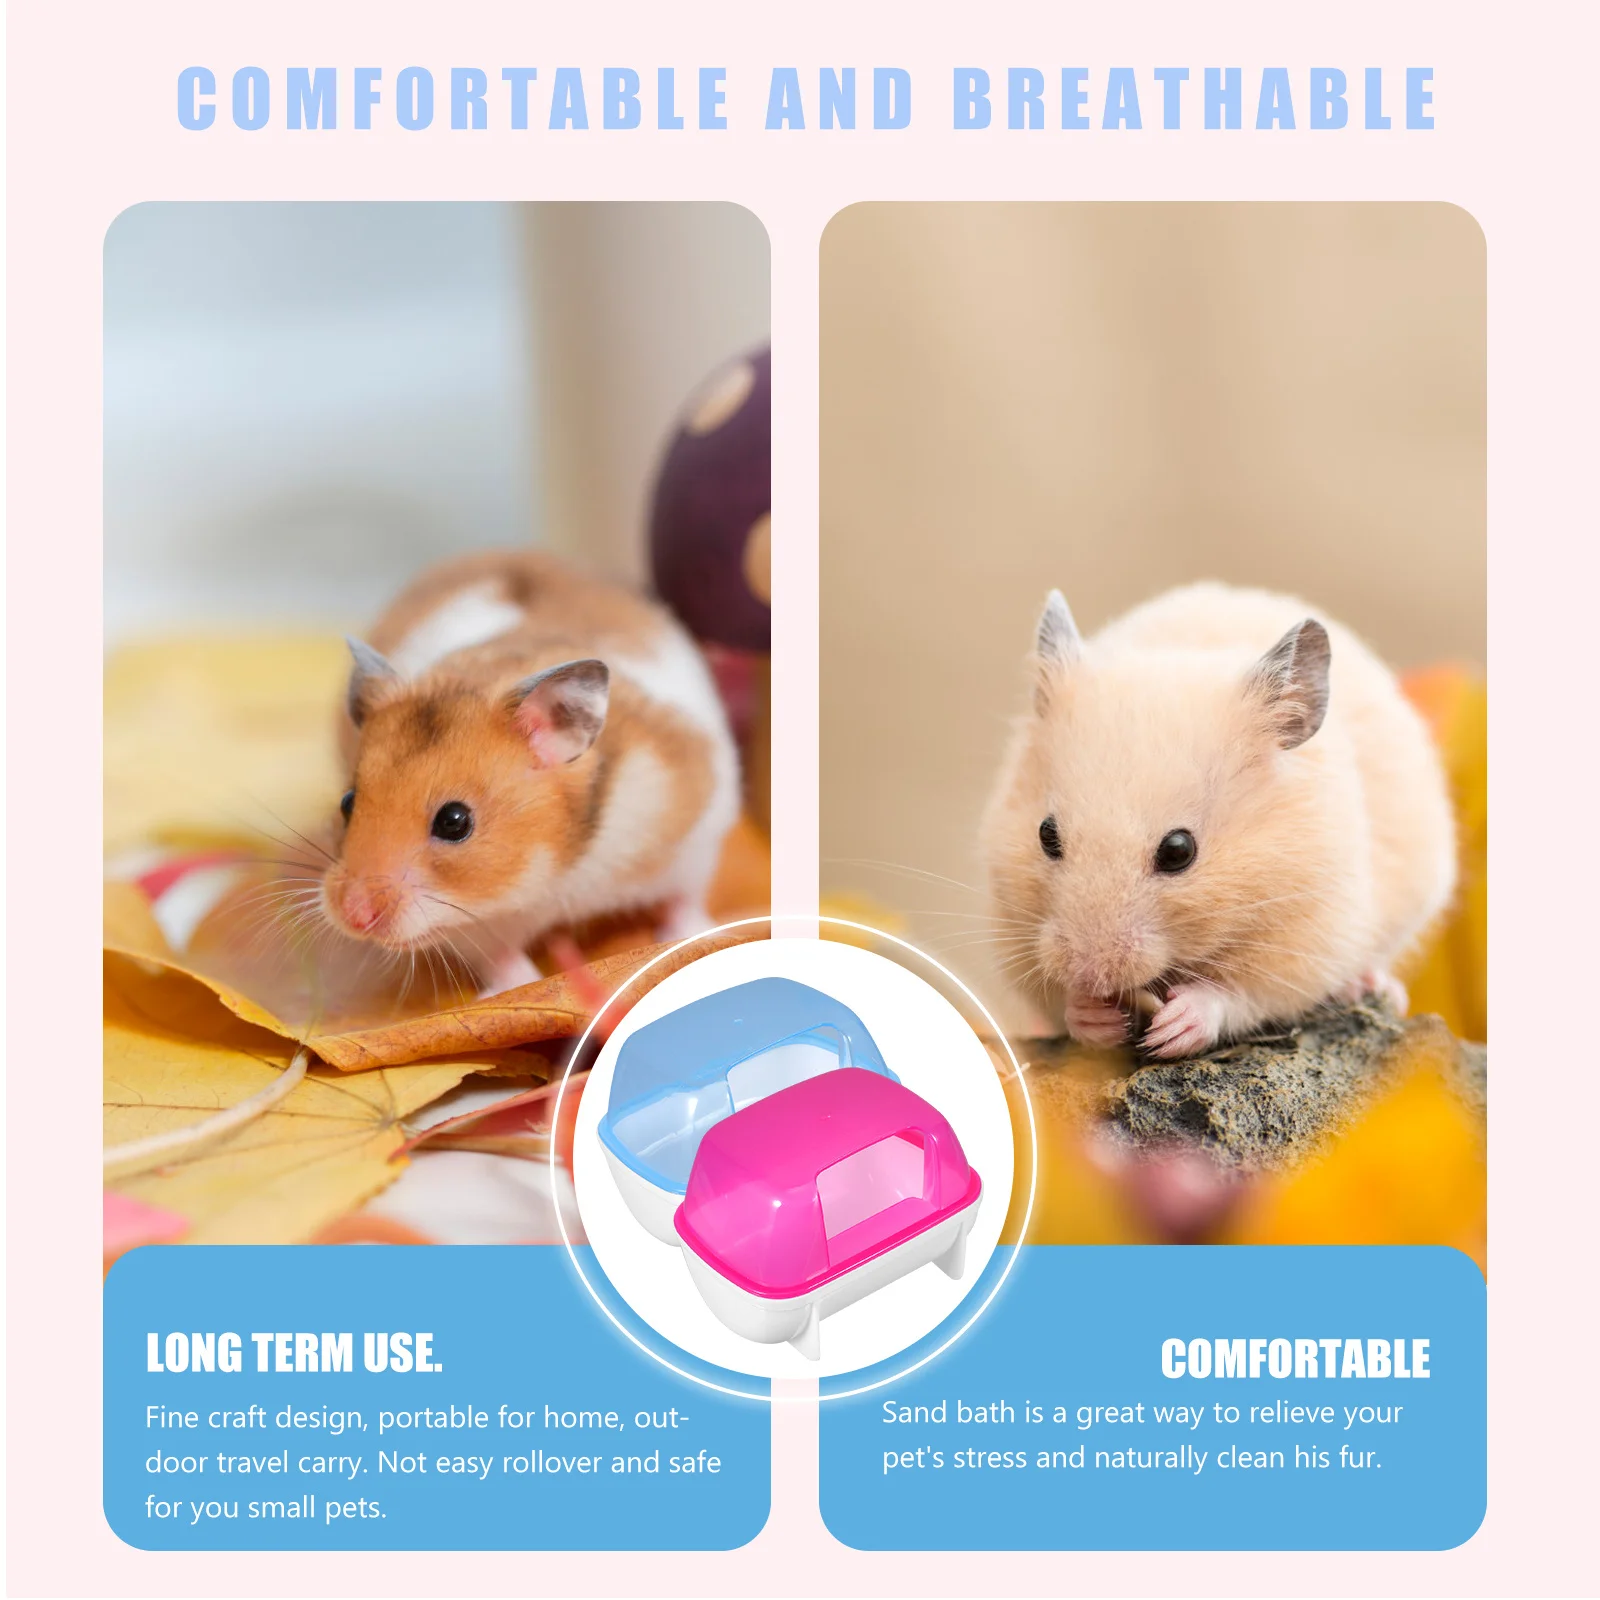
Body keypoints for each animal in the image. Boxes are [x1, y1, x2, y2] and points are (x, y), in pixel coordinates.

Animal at [319, 550, 740, 996]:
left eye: (454, 821)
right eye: (347, 802)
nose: (353, 917)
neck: (555, 869)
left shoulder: (696, 839)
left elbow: (685, 898)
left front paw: (699, 935)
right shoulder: (478, 929)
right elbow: (503, 960)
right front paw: (513, 987)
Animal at [981, 582, 1457, 1059]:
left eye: (1179, 851)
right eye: (1046, 834)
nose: (1090, 974)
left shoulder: (1307, 942)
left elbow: (1238, 996)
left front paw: (1171, 1030)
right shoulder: (1013, 929)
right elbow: (1058, 1003)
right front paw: (1096, 1016)